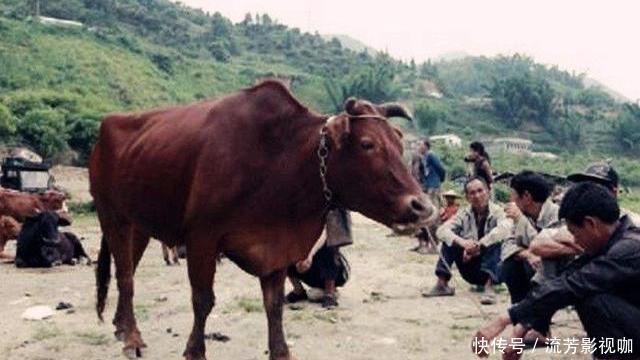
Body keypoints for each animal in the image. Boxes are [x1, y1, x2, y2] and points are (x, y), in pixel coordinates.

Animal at [91, 80, 436, 358]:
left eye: (399, 143)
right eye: (367, 144)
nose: (422, 207)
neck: (278, 160)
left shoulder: (278, 248)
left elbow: (274, 307)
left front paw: (281, 352)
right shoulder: (202, 238)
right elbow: (203, 300)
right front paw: (194, 351)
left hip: (139, 224)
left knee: (128, 270)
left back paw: (121, 326)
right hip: (111, 215)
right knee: (126, 276)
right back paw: (132, 338)